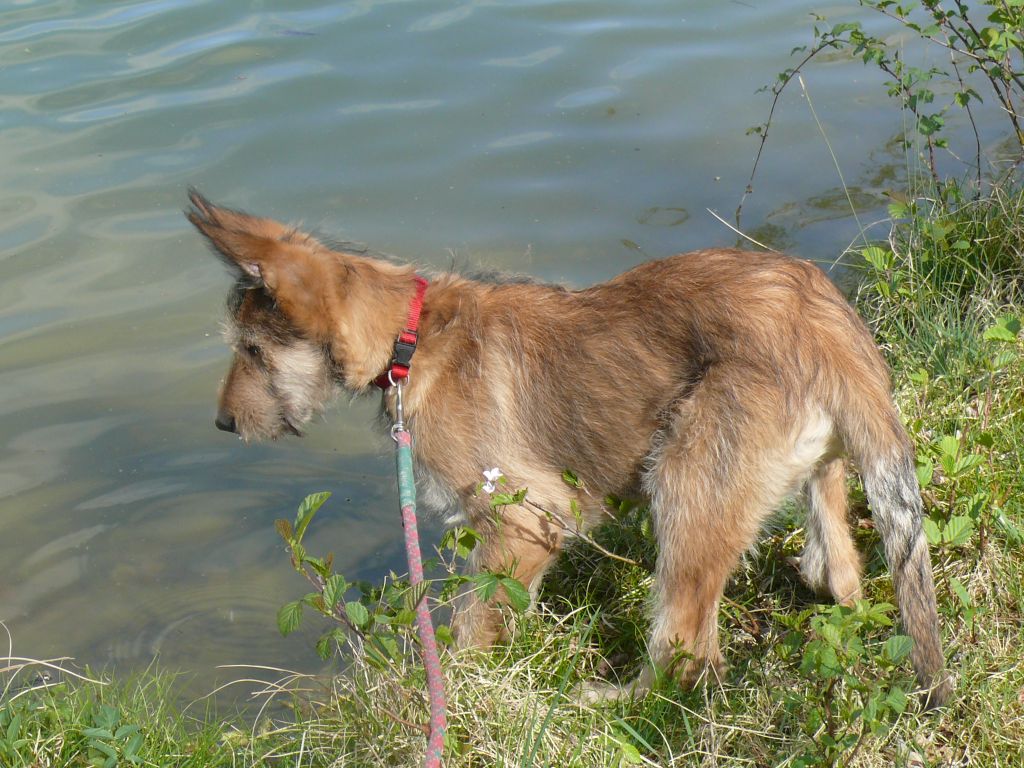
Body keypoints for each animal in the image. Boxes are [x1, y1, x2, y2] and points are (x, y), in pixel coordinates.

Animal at [190, 192, 950, 708]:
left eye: (252, 352)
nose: (222, 424)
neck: (414, 336)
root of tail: (823, 322)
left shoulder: (526, 517)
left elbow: (475, 625)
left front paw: (459, 694)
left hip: (688, 483)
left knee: (683, 648)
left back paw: (610, 702)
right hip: (814, 472)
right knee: (842, 571)